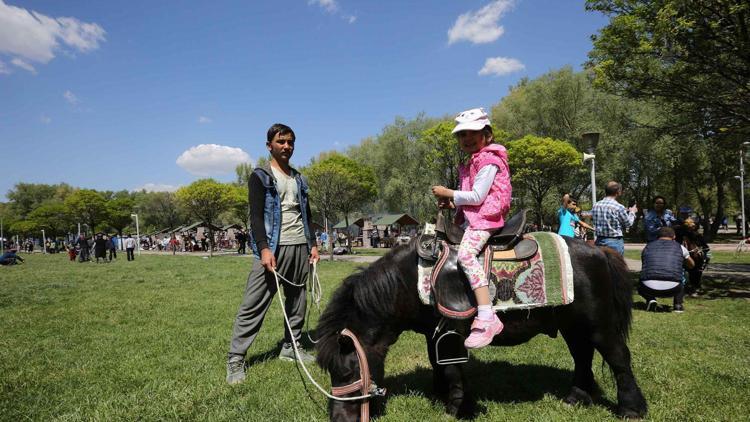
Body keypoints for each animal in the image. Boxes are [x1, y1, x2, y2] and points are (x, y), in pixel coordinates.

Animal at [314, 236, 648, 420]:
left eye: (347, 371)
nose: (338, 419)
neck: (407, 281)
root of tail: (599, 251)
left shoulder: (450, 332)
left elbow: (452, 369)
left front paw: (457, 408)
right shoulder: (433, 333)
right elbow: (438, 364)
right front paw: (443, 397)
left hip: (598, 324)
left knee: (618, 358)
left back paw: (631, 409)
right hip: (572, 325)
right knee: (582, 356)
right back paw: (576, 398)